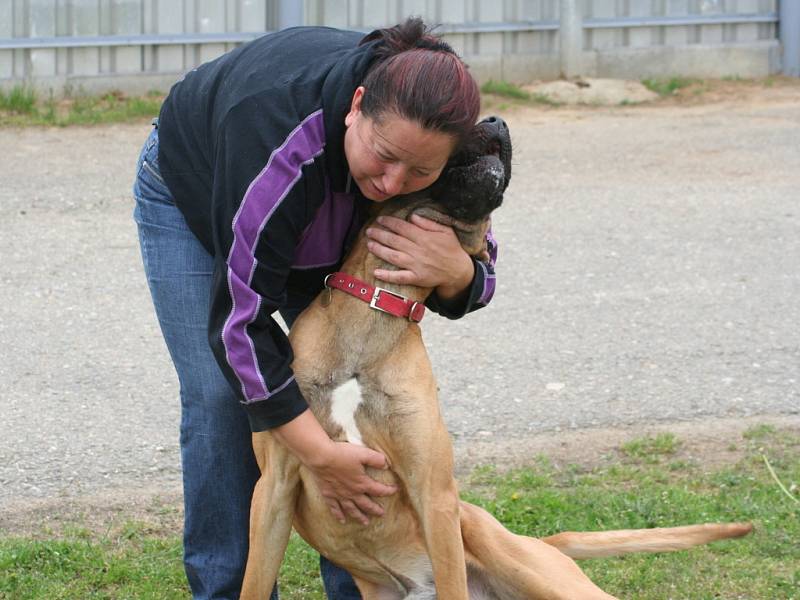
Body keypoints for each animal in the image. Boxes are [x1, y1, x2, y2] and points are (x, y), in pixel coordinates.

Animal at [241, 118, 752, 600]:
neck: (378, 308)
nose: (498, 121)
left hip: (529, 567)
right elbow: (253, 583)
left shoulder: (435, 495)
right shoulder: (273, 489)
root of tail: (541, 542)